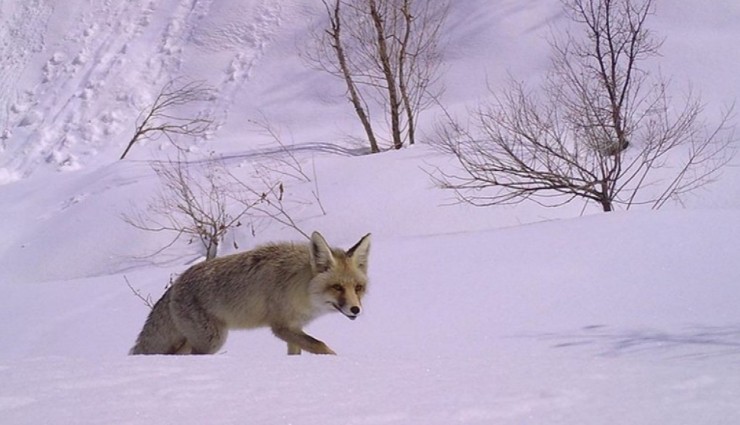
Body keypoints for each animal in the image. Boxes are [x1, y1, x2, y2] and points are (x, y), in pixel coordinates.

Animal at [130, 232, 370, 354]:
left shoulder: (294, 330)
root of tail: (175, 284)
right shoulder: (281, 327)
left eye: (358, 288)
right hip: (212, 341)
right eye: (337, 287)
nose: (356, 309)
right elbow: (321, 346)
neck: (300, 287)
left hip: (192, 341)